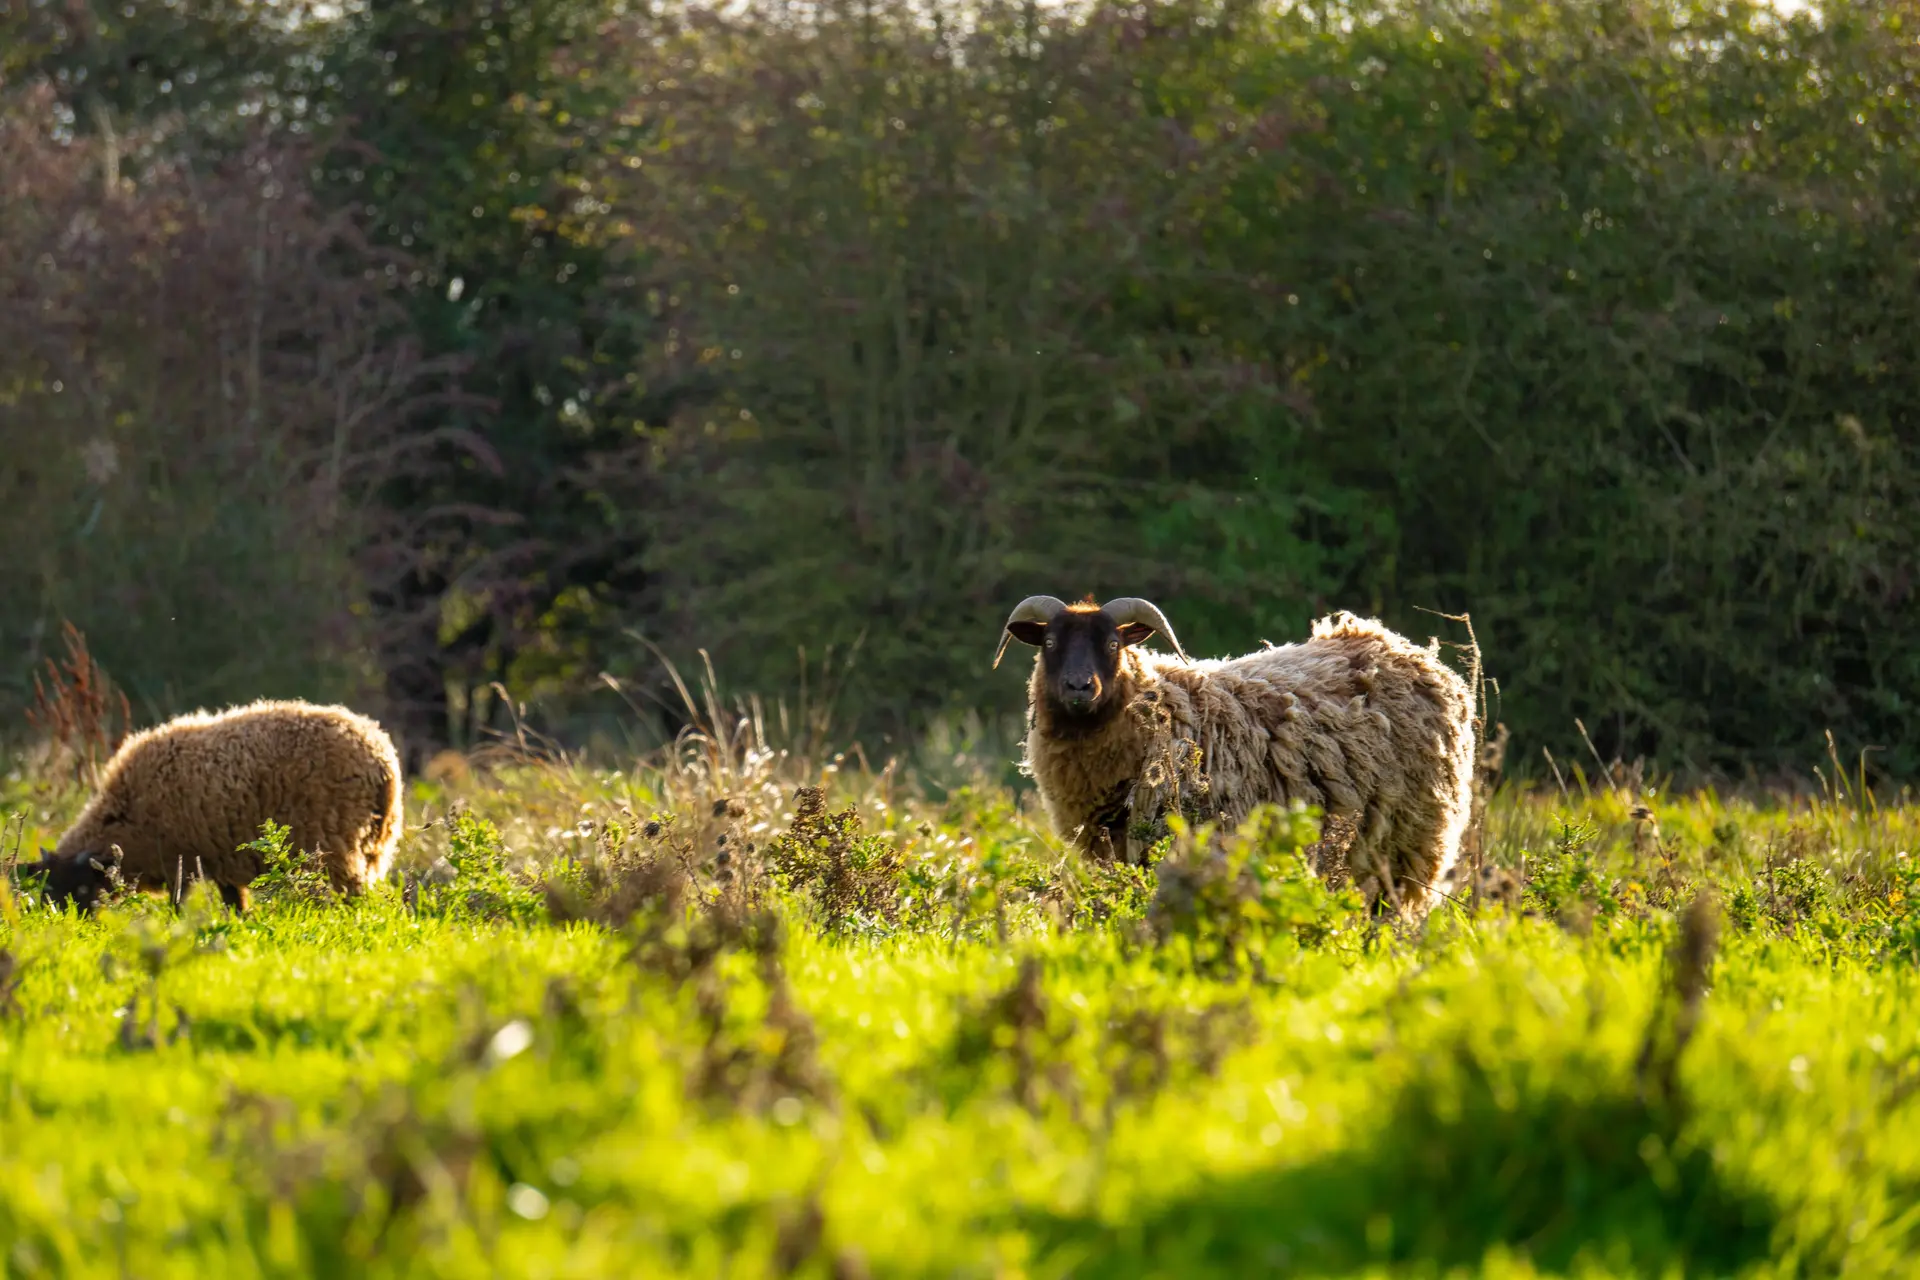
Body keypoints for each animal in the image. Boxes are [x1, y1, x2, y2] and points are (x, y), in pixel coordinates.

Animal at [20, 699, 405, 914]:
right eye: (47, 890)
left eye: (80, 888)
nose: (71, 928)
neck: (126, 815)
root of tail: (381, 760)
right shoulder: (220, 860)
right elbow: (235, 904)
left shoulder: (181, 860)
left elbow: (179, 905)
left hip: (332, 845)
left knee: (353, 897)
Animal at [994, 595, 1476, 920]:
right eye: (1049, 642)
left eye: (1113, 644)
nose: (1079, 687)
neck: (1160, 709)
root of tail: (1406, 650)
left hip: (1407, 846)